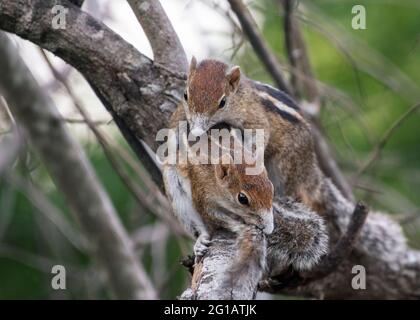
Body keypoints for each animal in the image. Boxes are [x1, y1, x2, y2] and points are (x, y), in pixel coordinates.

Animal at [176, 57, 326, 218]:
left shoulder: (254, 116)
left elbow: (260, 134)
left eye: (222, 102)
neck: (239, 96)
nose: (196, 131)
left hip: (286, 165)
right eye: (185, 95)